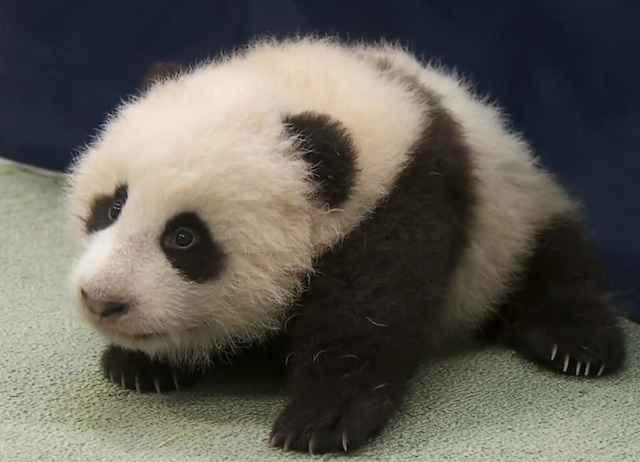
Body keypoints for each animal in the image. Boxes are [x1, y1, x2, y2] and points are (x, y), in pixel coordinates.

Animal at [64, 35, 627, 455]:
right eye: (112, 206)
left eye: (183, 238)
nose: (102, 300)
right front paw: (140, 364)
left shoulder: (409, 192)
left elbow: (368, 309)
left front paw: (322, 419)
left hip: (513, 221)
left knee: (558, 268)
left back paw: (577, 345)